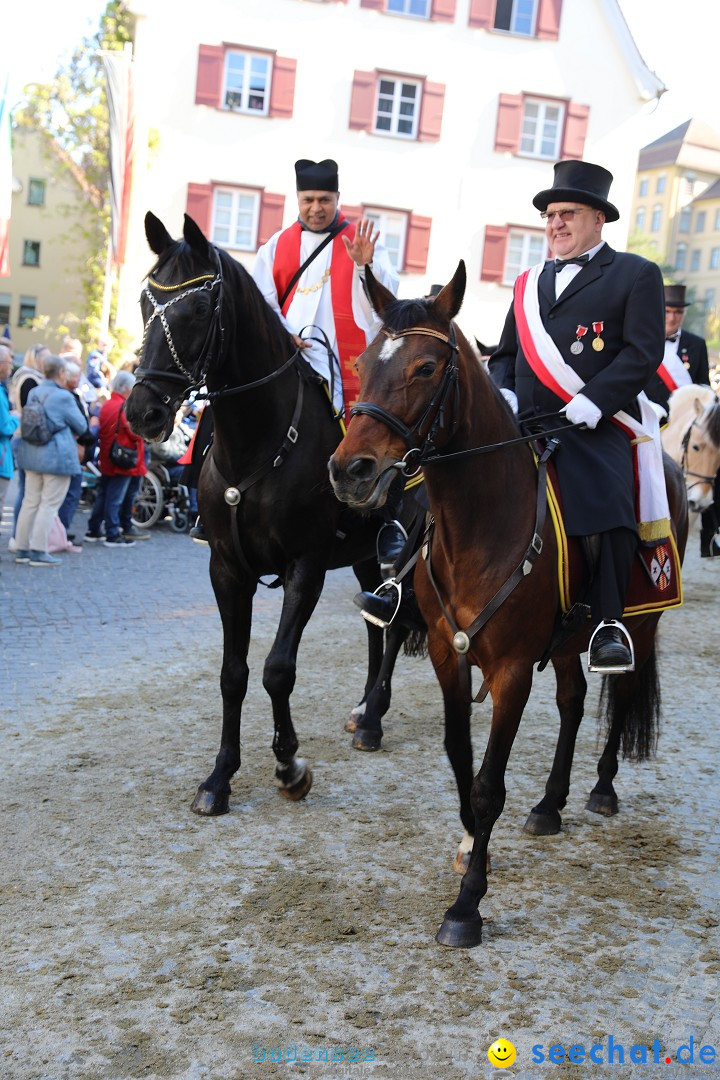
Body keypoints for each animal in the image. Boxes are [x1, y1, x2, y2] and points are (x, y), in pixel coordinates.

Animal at [124, 212, 416, 812]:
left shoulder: (305, 565)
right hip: (363, 557)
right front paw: (220, 777)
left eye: (197, 309)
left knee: (396, 625)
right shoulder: (227, 569)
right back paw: (363, 708)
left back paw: (374, 718)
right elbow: (233, 673)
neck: (259, 442)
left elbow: (278, 669)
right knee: (375, 624)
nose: (143, 412)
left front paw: (289, 765)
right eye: (146, 302)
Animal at [330, 259, 690, 946]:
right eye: (361, 360)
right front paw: (472, 845)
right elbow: (460, 762)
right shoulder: (448, 655)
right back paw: (550, 805)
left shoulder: (511, 671)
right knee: (574, 702)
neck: (481, 524)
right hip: (570, 638)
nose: (349, 470)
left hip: (644, 623)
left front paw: (467, 905)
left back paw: (602, 788)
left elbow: (489, 785)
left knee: (622, 695)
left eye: (425, 368)